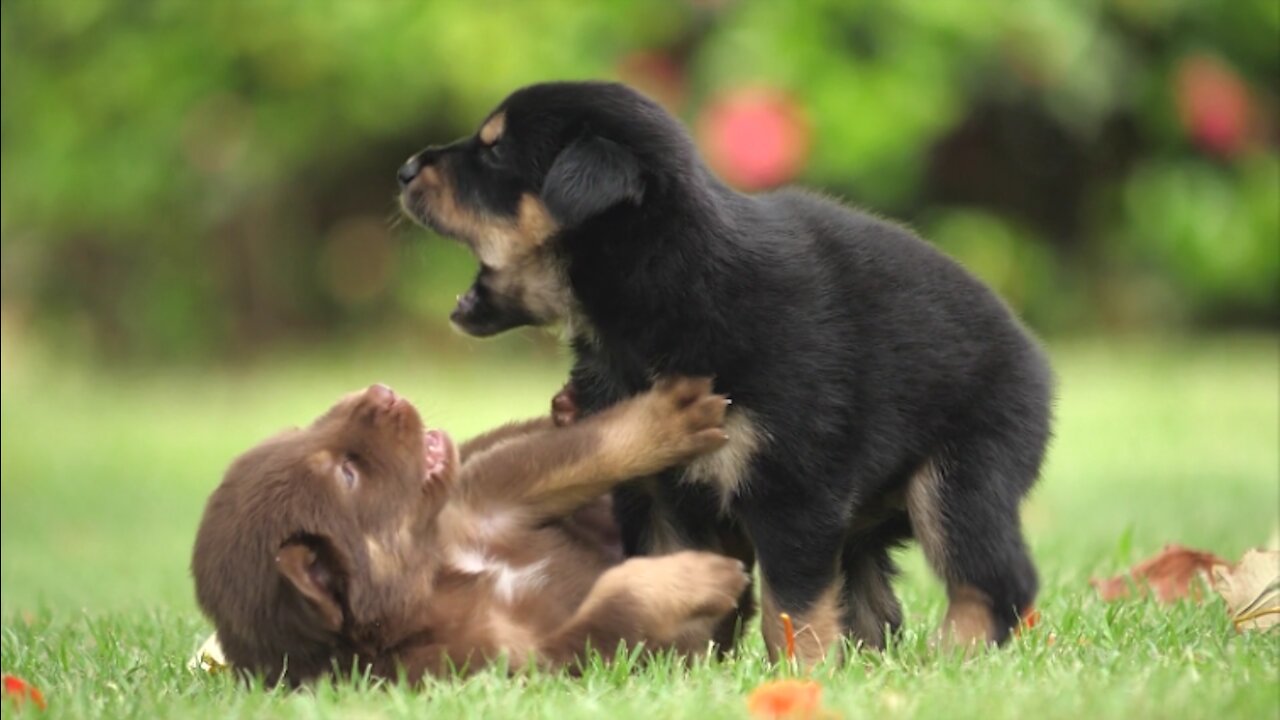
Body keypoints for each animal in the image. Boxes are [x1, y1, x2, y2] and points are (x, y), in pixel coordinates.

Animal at [190, 371, 747, 681]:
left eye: (307, 427)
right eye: (347, 475)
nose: (381, 392)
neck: (438, 574)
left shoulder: (486, 497)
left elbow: (586, 448)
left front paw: (668, 417)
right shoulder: (519, 664)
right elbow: (616, 607)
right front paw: (699, 579)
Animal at [396, 79, 1049, 661]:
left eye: (494, 152)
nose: (403, 169)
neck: (664, 286)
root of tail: (1035, 355)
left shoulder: (793, 489)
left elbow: (794, 611)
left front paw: (803, 676)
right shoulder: (654, 489)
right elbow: (674, 577)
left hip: (960, 478)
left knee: (995, 580)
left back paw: (953, 656)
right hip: (871, 519)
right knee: (875, 605)